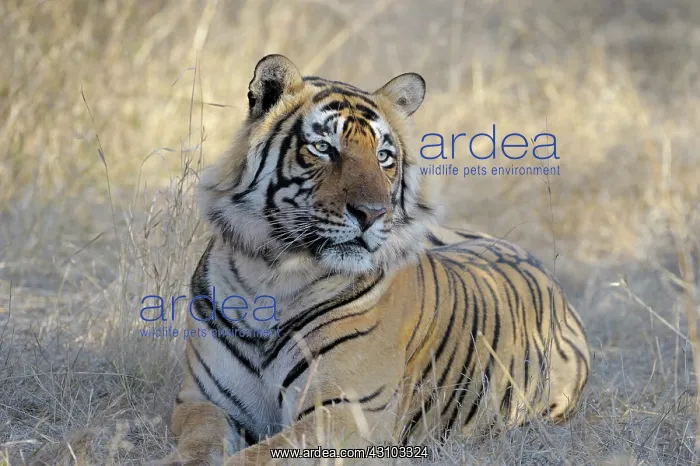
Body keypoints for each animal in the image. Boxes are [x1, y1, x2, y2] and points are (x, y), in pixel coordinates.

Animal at [156, 54, 590, 466]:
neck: (271, 274)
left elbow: (257, 457)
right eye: (323, 148)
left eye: (383, 156)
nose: (372, 213)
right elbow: (200, 441)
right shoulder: (204, 400)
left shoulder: (345, 412)